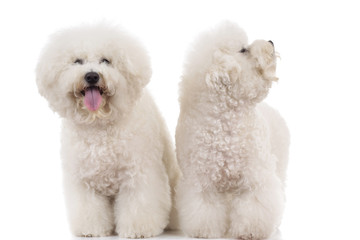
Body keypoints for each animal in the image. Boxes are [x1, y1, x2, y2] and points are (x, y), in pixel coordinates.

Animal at [36, 23, 180, 237]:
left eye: (106, 60)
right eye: (77, 61)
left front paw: (138, 230)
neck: (99, 124)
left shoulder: (138, 175)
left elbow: (139, 206)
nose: (92, 75)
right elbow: (89, 209)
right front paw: (91, 230)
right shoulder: (84, 181)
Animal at [174, 21, 290, 239]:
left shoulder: (255, 177)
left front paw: (250, 231)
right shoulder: (202, 181)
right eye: (243, 50)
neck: (225, 122)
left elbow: (255, 205)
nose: (270, 42)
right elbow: (204, 208)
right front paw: (204, 232)